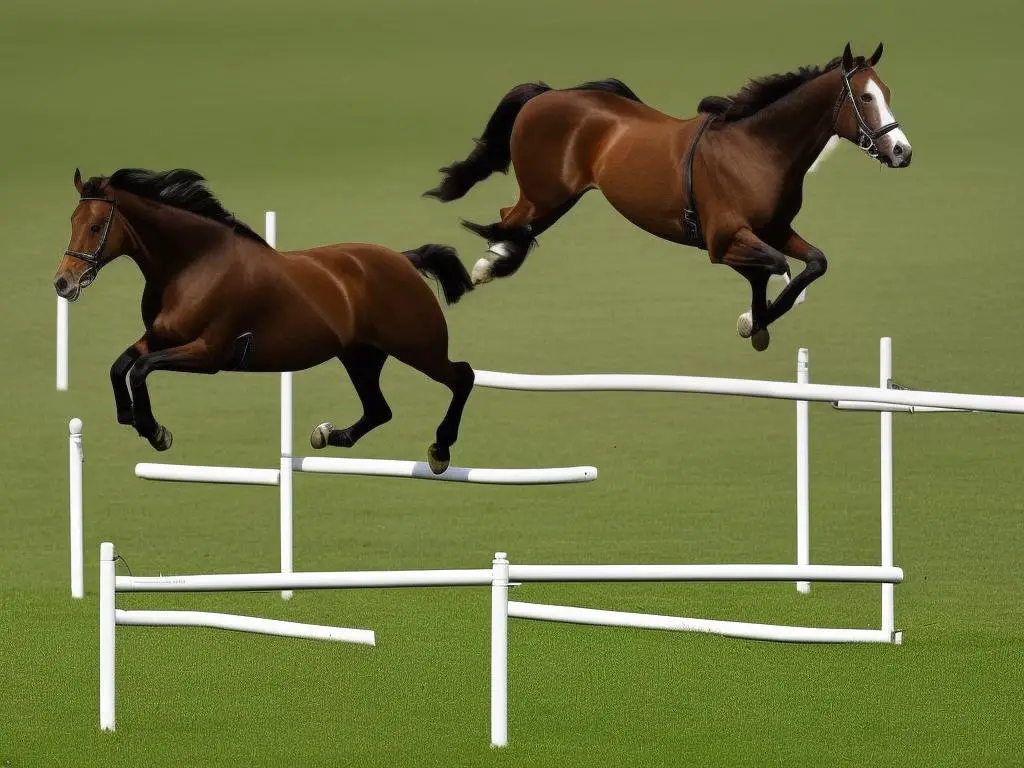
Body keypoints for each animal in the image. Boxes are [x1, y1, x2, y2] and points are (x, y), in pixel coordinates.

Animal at [52, 166, 475, 475]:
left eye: (95, 226)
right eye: (71, 220)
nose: (63, 282)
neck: (194, 265)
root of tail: (404, 259)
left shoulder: (208, 354)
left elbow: (140, 369)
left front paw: (154, 430)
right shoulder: (160, 336)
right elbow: (121, 365)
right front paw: (130, 416)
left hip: (419, 349)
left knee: (462, 376)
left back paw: (440, 449)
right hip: (360, 357)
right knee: (378, 410)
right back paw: (328, 435)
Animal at [423, 45, 913, 352]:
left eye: (888, 93)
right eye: (865, 97)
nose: (901, 151)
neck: (757, 150)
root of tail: (547, 95)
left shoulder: (774, 229)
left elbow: (812, 264)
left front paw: (757, 321)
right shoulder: (723, 241)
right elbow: (774, 267)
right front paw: (754, 322)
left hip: (557, 198)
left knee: (515, 223)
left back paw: (487, 265)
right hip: (546, 193)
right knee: (512, 220)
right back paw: (481, 268)